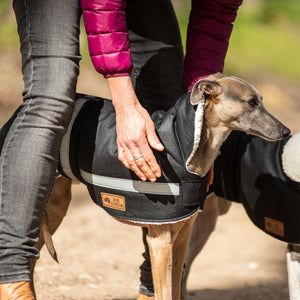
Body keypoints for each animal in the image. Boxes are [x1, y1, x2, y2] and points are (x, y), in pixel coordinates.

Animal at [27, 73, 290, 300]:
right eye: (251, 102)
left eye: (261, 100)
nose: (286, 131)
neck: (184, 146)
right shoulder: (160, 240)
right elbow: (165, 292)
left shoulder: (182, 236)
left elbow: (176, 288)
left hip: (56, 207)